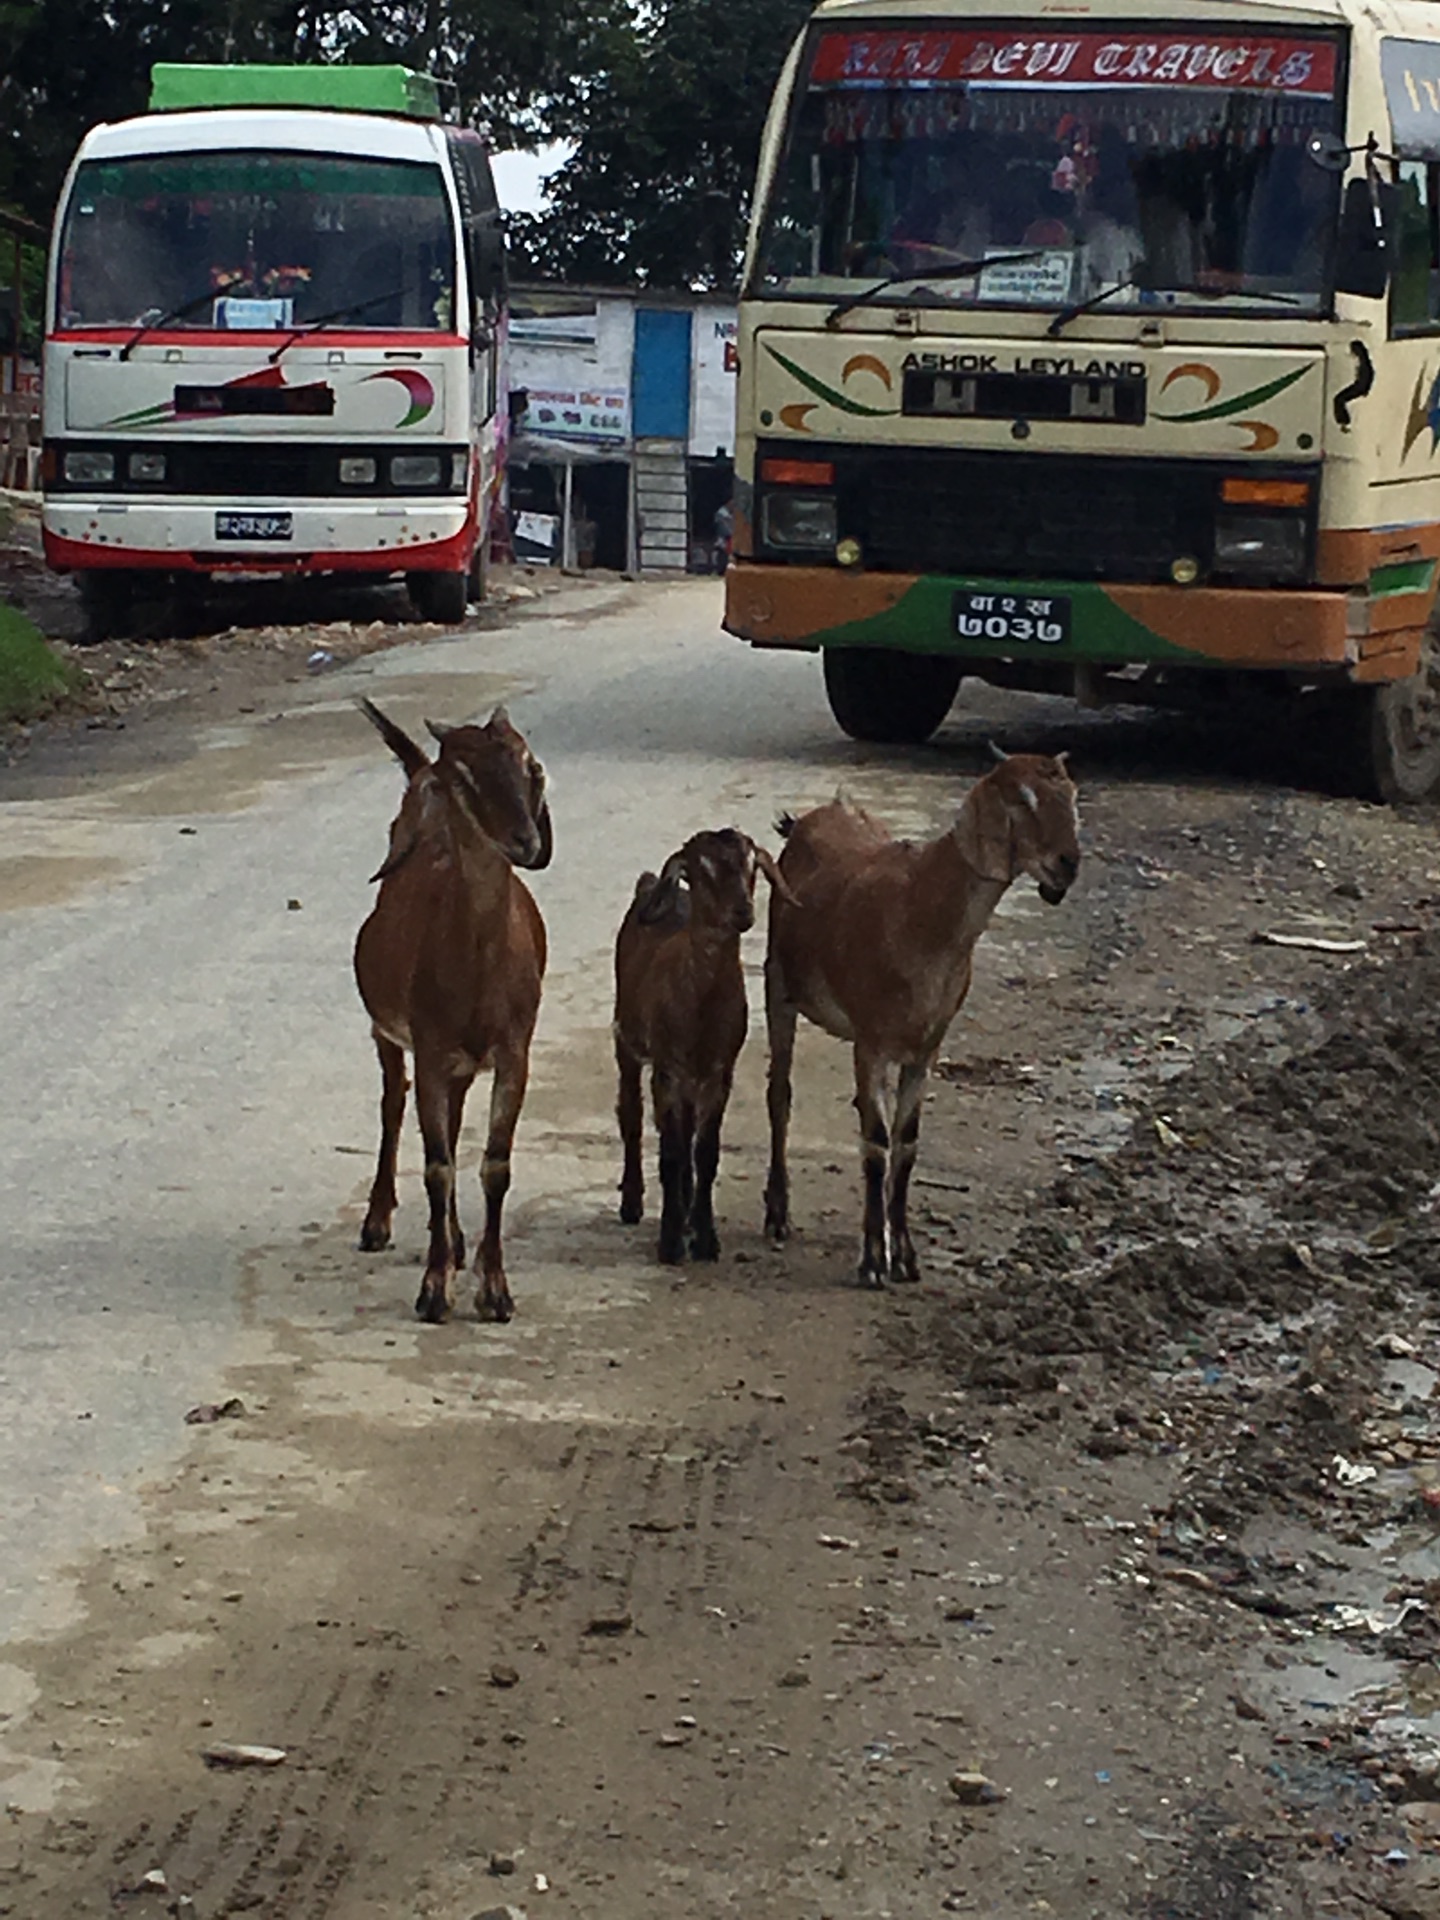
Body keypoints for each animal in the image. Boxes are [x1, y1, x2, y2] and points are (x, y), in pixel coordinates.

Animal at [353, 702, 552, 1320]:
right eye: (464, 777)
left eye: (529, 763)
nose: (524, 840)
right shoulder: (431, 1046)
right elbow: (437, 1166)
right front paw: (434, 1289)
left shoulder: (515, 1051)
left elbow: (495, 1164)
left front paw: (495, 1289)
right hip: (389, 1031)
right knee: (393, 1102)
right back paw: (377, 1222)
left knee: (453, 1115)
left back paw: (461, 1242)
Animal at [614, 821, 794, 1259]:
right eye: (701, 869)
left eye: (753, 865)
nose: (743, 911)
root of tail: (649, 885)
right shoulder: (668, 1070)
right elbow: (672, 1153)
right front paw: (670, 1242)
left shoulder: (718, 1073)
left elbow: (705, 1152)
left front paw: (705, 1238)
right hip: (626, 1038)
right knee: (631, 1113)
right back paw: (633, 1201)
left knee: (686, 1131)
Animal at [768, 748, 1082, 1290]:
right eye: (1022, 798)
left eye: (1072, 793)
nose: (1068, 864)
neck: (922, 913)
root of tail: (815, 815)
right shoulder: (871, 1043)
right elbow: (875, 1145)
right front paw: (873, 1262)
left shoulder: (927, 1049)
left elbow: (907, 1143)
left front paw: (906, 1257)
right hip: (778, 989)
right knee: (780, 1095)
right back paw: (778, 1215)